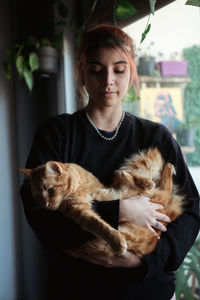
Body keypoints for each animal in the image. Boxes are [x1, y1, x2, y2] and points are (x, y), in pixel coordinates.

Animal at [19, 148, 184, 258]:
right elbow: (100, 225)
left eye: (50, 190)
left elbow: (124, 177)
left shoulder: (102, 186)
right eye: (38, 197)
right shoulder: (80, 212)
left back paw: (164, 170)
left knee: (160, 190)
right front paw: (117, 241)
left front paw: (144, 181)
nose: (46, 205)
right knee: (161, 192)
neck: (78, 186)